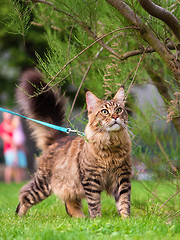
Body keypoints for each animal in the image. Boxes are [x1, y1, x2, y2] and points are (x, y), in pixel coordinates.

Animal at [15, 69, 131, 218]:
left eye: (119, 110)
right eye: (105, 112)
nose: (115, 117)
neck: (111, 144)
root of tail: (59, 138)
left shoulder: (122, 176)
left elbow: (124, 201)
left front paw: (126, 219)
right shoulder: (90, 179)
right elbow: (94, 203)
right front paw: (97, 219)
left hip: (69, 184)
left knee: (70, 205)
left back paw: (80, 218)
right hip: (43, 185)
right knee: (24, 195)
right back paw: (19, 218)